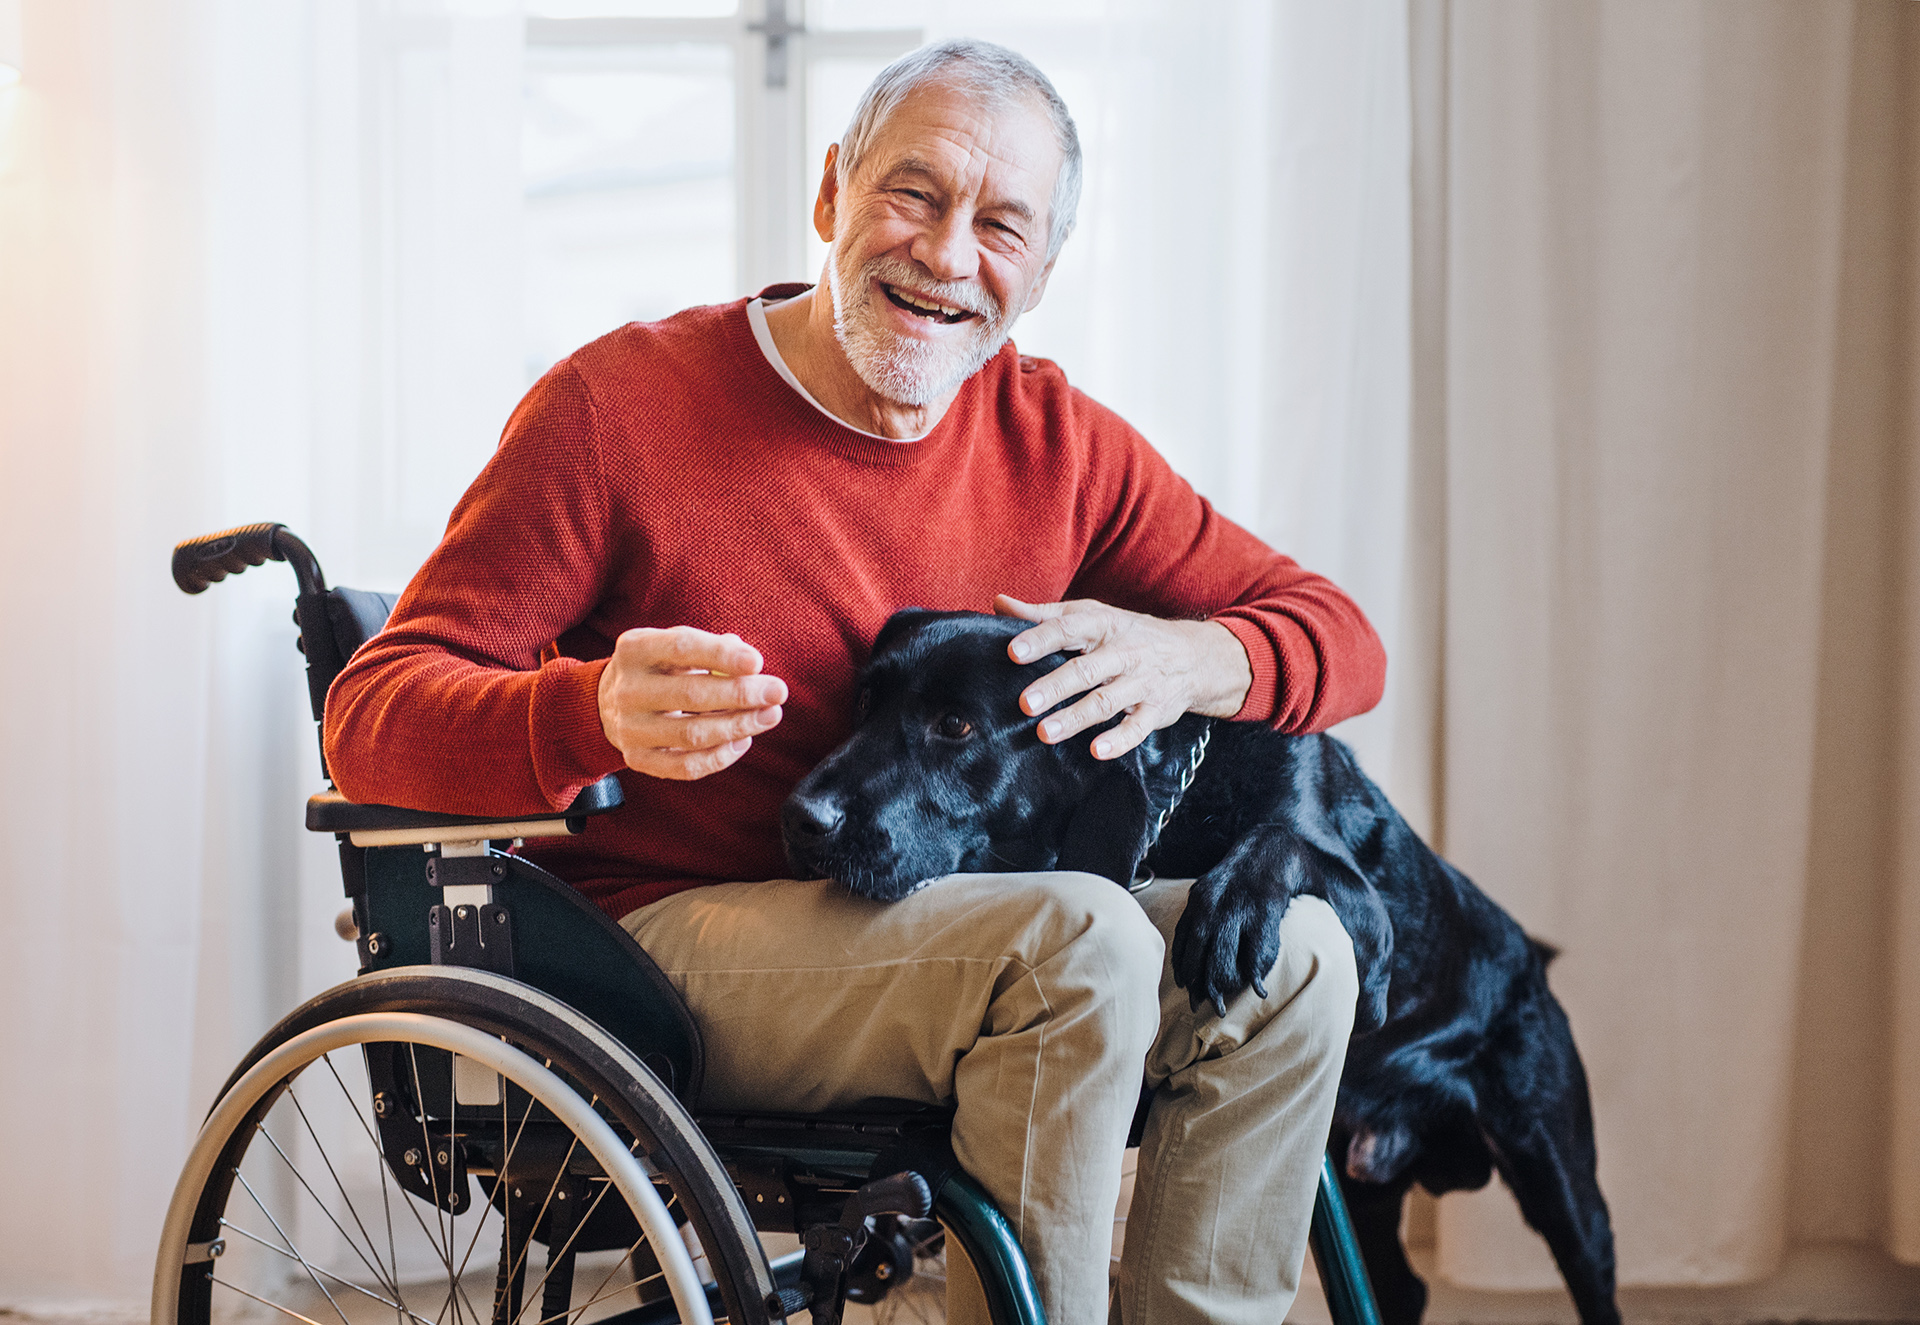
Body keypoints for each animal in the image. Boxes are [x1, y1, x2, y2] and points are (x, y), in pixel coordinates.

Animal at [779, 610, 1620, 1321]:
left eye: (954, 726)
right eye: (863, 705)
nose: (800, 816)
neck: (1179, 808)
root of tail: (1537, 963)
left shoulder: (1371, 921)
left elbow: (1281, 839)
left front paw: (1229, 911)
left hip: (1559, 1179)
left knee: (1590, 1268)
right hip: (1361, 1182)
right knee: (1403, 1286)